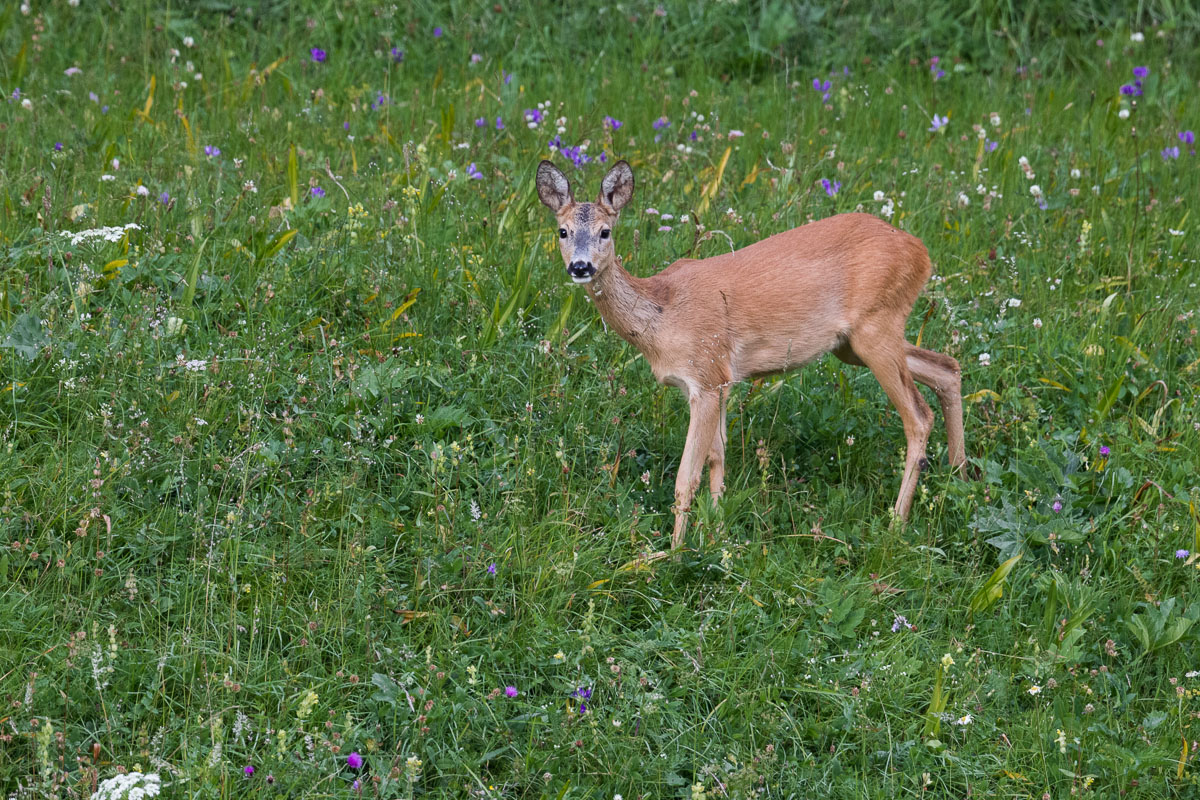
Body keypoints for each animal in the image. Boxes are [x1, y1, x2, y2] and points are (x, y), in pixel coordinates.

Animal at [535, 158, 966, 550]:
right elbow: (717, 459)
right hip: (854, 344)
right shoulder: (721, 382)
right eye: (562, 231)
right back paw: (959, 480)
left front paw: (673, 555)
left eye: (605, 231)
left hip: (876, 326)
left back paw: (897, 523)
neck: (662, 316)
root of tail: (922, 252)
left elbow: (686, 477)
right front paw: (717, 535)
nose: (580, 266)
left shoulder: (706, 375)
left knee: (919, 416)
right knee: (948, 366)